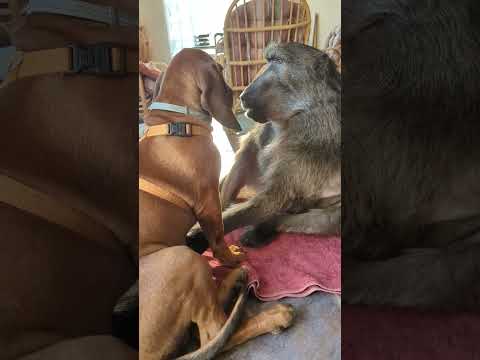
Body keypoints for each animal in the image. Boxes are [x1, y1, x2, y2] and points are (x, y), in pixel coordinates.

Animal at [139, 48, 294, 360]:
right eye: (220, 70)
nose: (240, 95)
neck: (176, 121)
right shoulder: (208, 201)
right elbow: (219, 235)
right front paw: (230, 256)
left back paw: (234, 280)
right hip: (181, 259)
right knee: (215, 333)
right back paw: (271, 312)